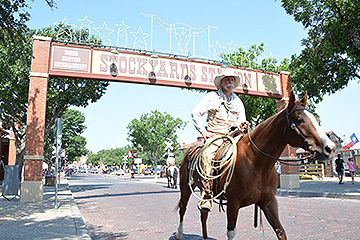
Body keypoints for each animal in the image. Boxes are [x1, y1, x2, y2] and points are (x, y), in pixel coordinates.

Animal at [174, 91, 334, 239]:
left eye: (314, 118)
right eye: (300, 119)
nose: (329, 147)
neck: (256, 163)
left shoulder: (269, 202)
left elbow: (281, 232)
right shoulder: (233, 204)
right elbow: (231, 233)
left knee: (203, 214)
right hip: (185, 188)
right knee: (182, 209)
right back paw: (178, 234)